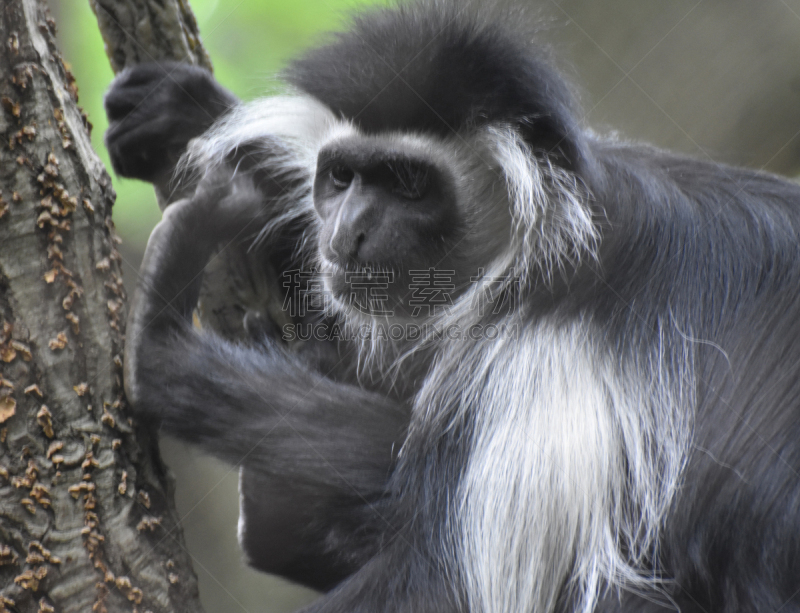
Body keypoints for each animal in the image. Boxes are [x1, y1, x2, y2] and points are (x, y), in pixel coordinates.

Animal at [104, 1, 800, 612]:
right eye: (341, 178)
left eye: (410, 184)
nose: (347, 231)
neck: (540, 242)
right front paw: (188, 113)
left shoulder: (547, 358)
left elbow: (443, 588)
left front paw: (162, 347)